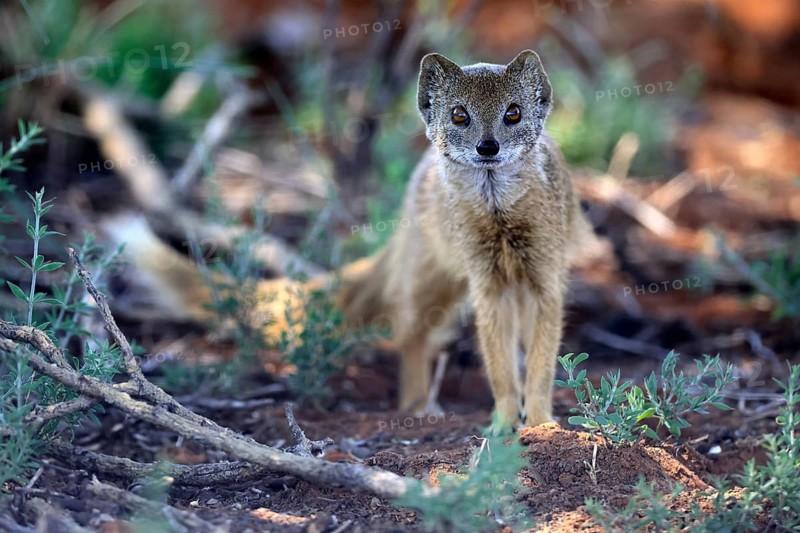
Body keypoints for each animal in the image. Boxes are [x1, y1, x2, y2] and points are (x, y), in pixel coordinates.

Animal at [107, 50, 589, 430]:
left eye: (514, 112)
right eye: (459, 115)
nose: (488, 147)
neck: (501, 222)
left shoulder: (545, 278)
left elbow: (541, 363)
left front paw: (541, 422)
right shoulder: (485, 283)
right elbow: (499, 367)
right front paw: (505, 423)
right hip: (433, 277)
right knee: (409, 335)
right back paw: (418, 406)